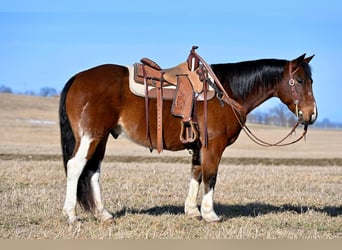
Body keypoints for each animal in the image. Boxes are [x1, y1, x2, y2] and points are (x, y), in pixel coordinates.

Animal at [59, 51, 318, 224]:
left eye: (311, 80)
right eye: (300, 81)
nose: (311, 114)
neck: (226, 92)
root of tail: (78, 78)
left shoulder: (198, 146)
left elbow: (196, 173)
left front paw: (192, 211)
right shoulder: (213, 146)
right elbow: (210, 176)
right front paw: (210, 214)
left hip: (101, 138)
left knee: (93, 171)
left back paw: (103, 214)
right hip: (90, 136)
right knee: (76, 167)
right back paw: (71, 215)